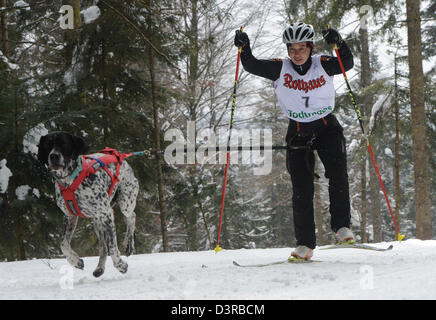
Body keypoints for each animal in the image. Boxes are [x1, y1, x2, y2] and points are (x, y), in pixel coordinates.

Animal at [39, 132, 139, 278]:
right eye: (48, 145)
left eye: (64, 143)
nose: (54, 156)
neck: (70, 180)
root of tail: (120, 157)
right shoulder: (70, 216)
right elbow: (63, 244)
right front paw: (75, 261)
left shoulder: (107, 213)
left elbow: (113, 247)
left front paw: (120, 265)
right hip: (97, 222)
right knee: (103, 247)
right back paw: (100, 268)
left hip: (125, 203)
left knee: (131, 217)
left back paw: (128, 245)